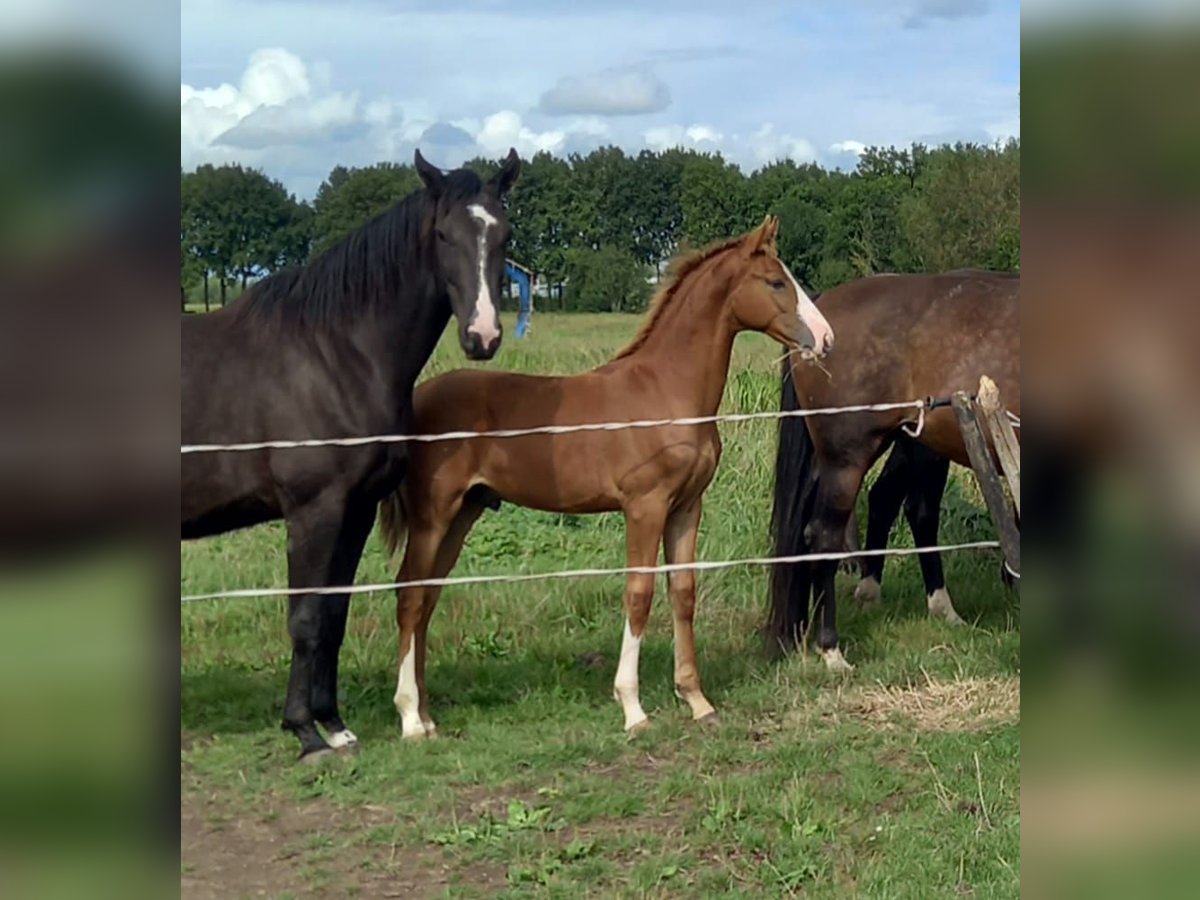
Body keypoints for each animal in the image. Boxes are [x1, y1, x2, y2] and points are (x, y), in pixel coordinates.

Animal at [181, 148, 520, 763]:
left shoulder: (355, 508)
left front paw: (334, 724)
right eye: (443, 234)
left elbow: (334, 614)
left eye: (503, 234)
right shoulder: (314, 510)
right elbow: (306, 616)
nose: (482, 337)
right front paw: (306, 733)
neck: (333, 354)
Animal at [381, 218, 835, 739]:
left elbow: (683, 592)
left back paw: (427, 715)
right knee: (409, 595)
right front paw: (633, 709)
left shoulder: (686, 506)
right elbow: (639, 594)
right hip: (432, 515)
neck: (666, 391)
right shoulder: (645, 506)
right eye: (776, 282)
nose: (825, 338)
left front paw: (697, 700)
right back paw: (410, 718)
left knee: (427, 597)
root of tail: (416, 403)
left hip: (464, 512)